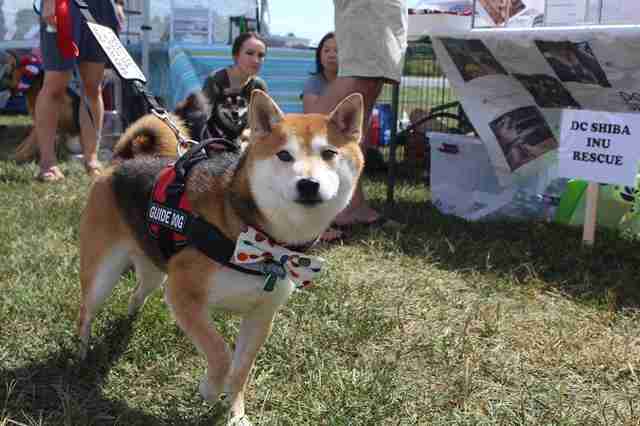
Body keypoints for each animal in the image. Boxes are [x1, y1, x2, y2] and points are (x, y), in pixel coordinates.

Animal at [76, 89, 364, 422]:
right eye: (284, 155)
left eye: (329, 153)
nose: (308, 184)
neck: (259, 238)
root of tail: (121, 161)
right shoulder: (183, 295)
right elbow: (220, 353)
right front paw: (210, 390)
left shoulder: (260, 315)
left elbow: (241, 371)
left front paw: (236, 415)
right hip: (103, 274)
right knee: (86, 312)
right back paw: (81, 355)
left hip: (153, 270)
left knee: (137, 292)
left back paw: (129, 322)